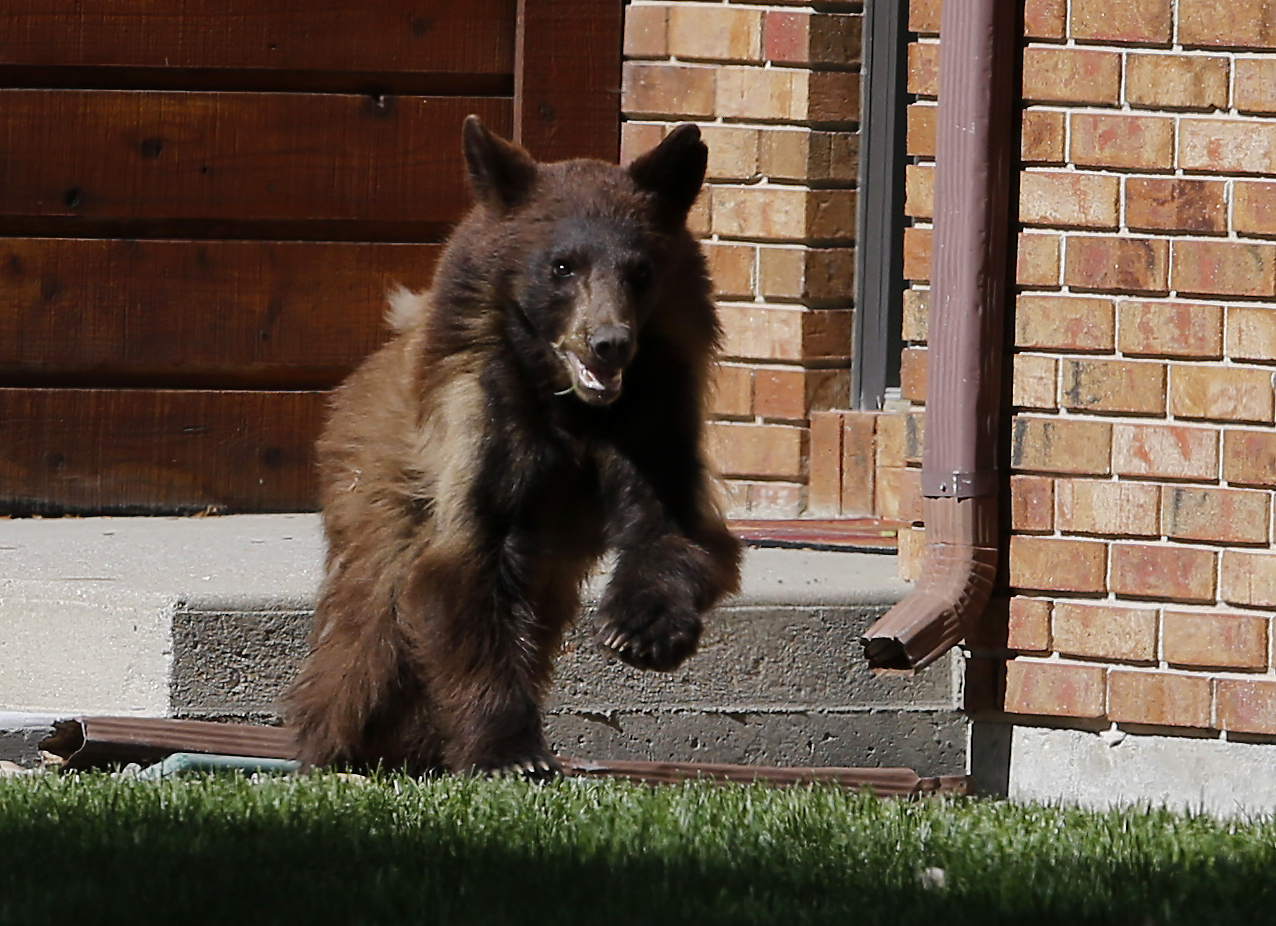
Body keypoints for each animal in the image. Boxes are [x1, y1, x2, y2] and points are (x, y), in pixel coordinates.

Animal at [285, 116, 742, 777]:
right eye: (562, 265)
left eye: (640, 270)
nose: (609, 342)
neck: (571, 407)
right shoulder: (480, 417)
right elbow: (464, 558)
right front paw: (510, 752)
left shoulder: (654, 413)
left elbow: (676, 526)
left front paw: (640, 630)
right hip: (374, 481)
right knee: (369, 625)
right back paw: (341, 740)